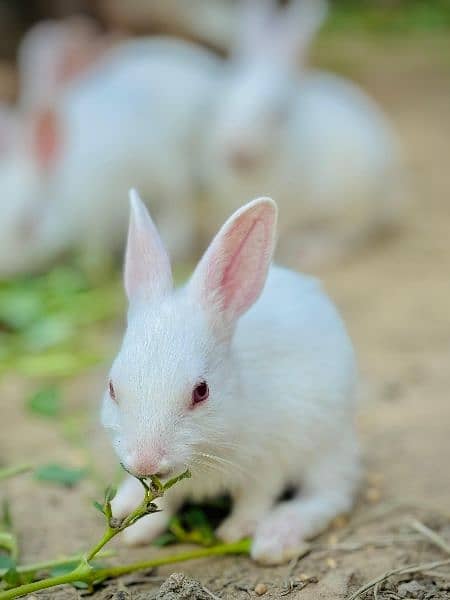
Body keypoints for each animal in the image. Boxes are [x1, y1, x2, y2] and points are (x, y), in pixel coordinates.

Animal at [102, 190, 358, 564]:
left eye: (201, 391)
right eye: (112, 387)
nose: (146, 462)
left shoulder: (268, 461)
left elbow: (256, 499)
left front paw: (235, 531)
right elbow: (165, 501)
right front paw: (138, 532)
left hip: (327, 446)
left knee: (327, 496)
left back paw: (274, 539)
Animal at [200, 0, 404, 268]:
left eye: (279, 113)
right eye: (218, 100)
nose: (235, 150)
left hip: (353, 204)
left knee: (348, 234)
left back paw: (309, 250)